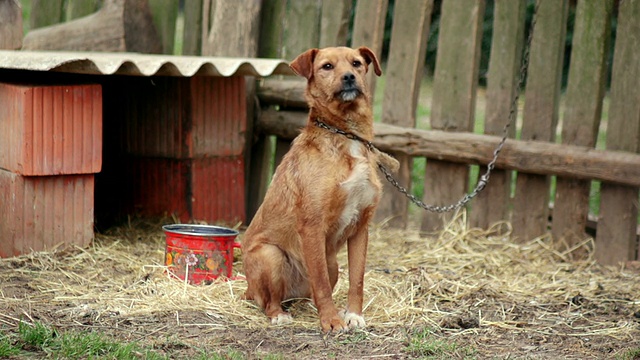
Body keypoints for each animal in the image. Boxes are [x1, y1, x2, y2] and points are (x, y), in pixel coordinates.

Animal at [240, 45, 396, 332]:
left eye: (356, 64)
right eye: (327, 66)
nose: (349, 77)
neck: (347, 135)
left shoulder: (361, 227)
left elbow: (357, 279)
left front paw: (353, 315)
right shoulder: (312, 225)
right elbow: (321, 283)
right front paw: (332, 321)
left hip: (332, 263)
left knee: (309, 293)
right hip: (271, 255)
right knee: (271, 301)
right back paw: (280, 315)